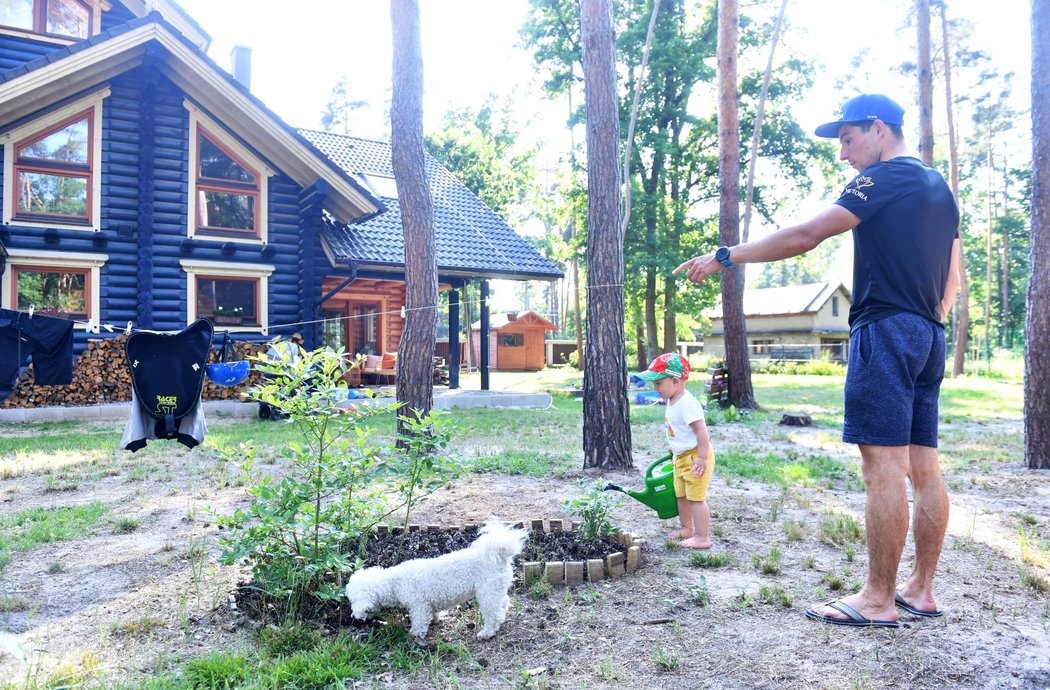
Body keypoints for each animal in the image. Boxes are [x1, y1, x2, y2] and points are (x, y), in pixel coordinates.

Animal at [342, 523, 525, 638]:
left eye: (353, 600)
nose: (352, 616)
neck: (393, 582)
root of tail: (497, 552)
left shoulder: (418, 605)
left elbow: (419, 620)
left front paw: (416, 634)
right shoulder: (427, 603)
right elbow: (433, 613)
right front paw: (435, 620)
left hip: (487, 593)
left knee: (493, 615)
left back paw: (487, 632)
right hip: (496, 589)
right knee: (503, 602)